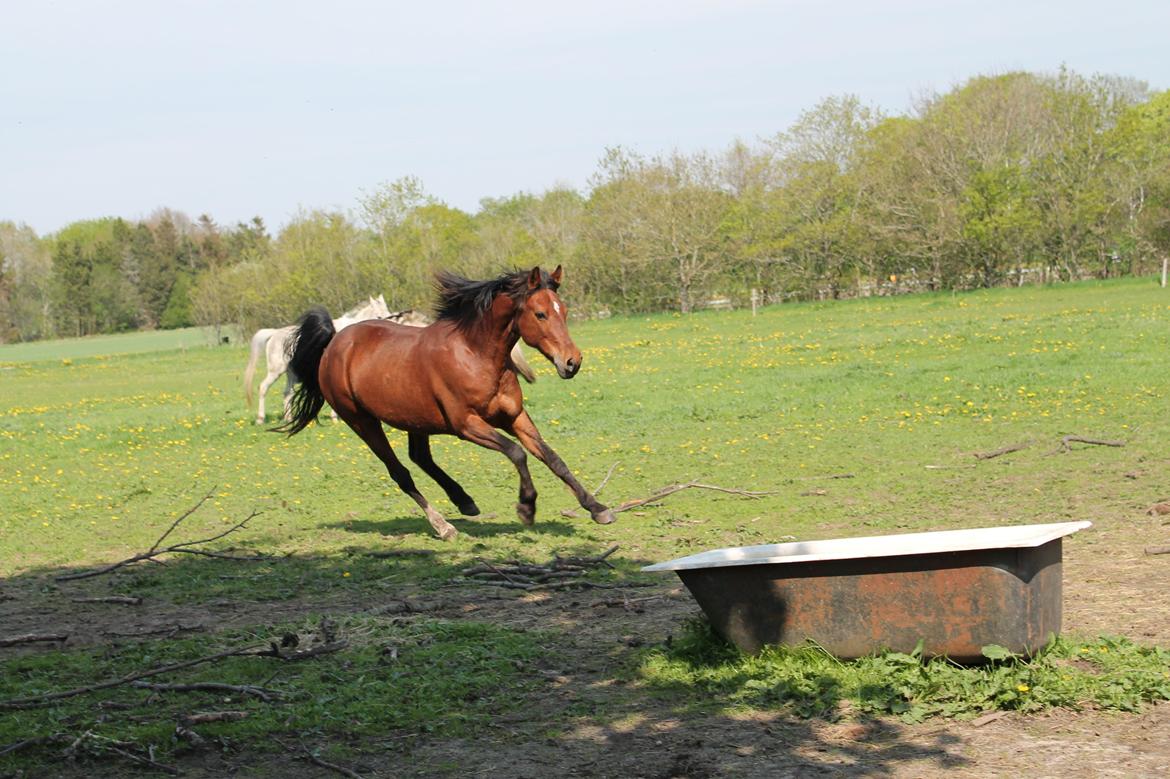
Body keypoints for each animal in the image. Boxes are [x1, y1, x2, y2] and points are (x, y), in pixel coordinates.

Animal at [244, 292, 390, 425]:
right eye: (379, 316)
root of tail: (275, 333)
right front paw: (335, 418)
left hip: (292, 373)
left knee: (287, 393)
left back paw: (289, 418)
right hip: (276, 371)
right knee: (263, 388)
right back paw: (260, 419)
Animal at [277, 264, 617, 538]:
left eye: (565, 311)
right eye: (541, 314)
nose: (572, 362)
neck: (476, 355)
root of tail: (335, 342)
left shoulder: (515, 416)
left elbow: (553, 458)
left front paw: (598, 508)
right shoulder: (466, 425)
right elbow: (517, 453)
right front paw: (526, 508)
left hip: (415, 419)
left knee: (419, 457)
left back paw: (464, 501)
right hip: (362, 422)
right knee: (401, 472)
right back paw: (443, 526)